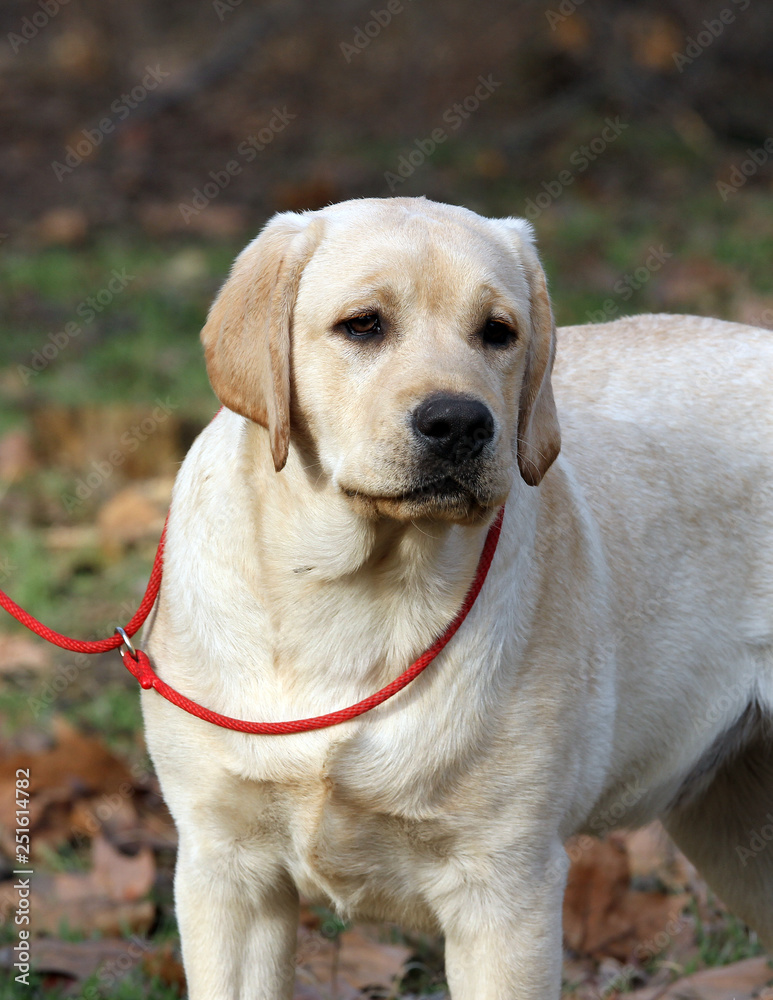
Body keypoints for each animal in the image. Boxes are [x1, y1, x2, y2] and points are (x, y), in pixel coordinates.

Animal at [140, 197, 772, 1000]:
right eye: (363, 325)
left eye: (498, 332)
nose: (461, 423)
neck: (353, 603)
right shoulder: (226, 872)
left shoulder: (505, 889)